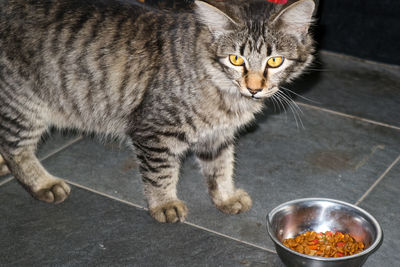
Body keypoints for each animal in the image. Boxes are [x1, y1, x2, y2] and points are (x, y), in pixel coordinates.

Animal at [0, 0, 316, 224]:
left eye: (274, 61)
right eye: (235, 59)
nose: (254, 88)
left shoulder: (217, 136)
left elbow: (221, 169)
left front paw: (225, 198)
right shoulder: (153, 132)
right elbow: (161, 173)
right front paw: (164, 204)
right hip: (24, 106)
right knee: (16, 150)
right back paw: (42, 184)